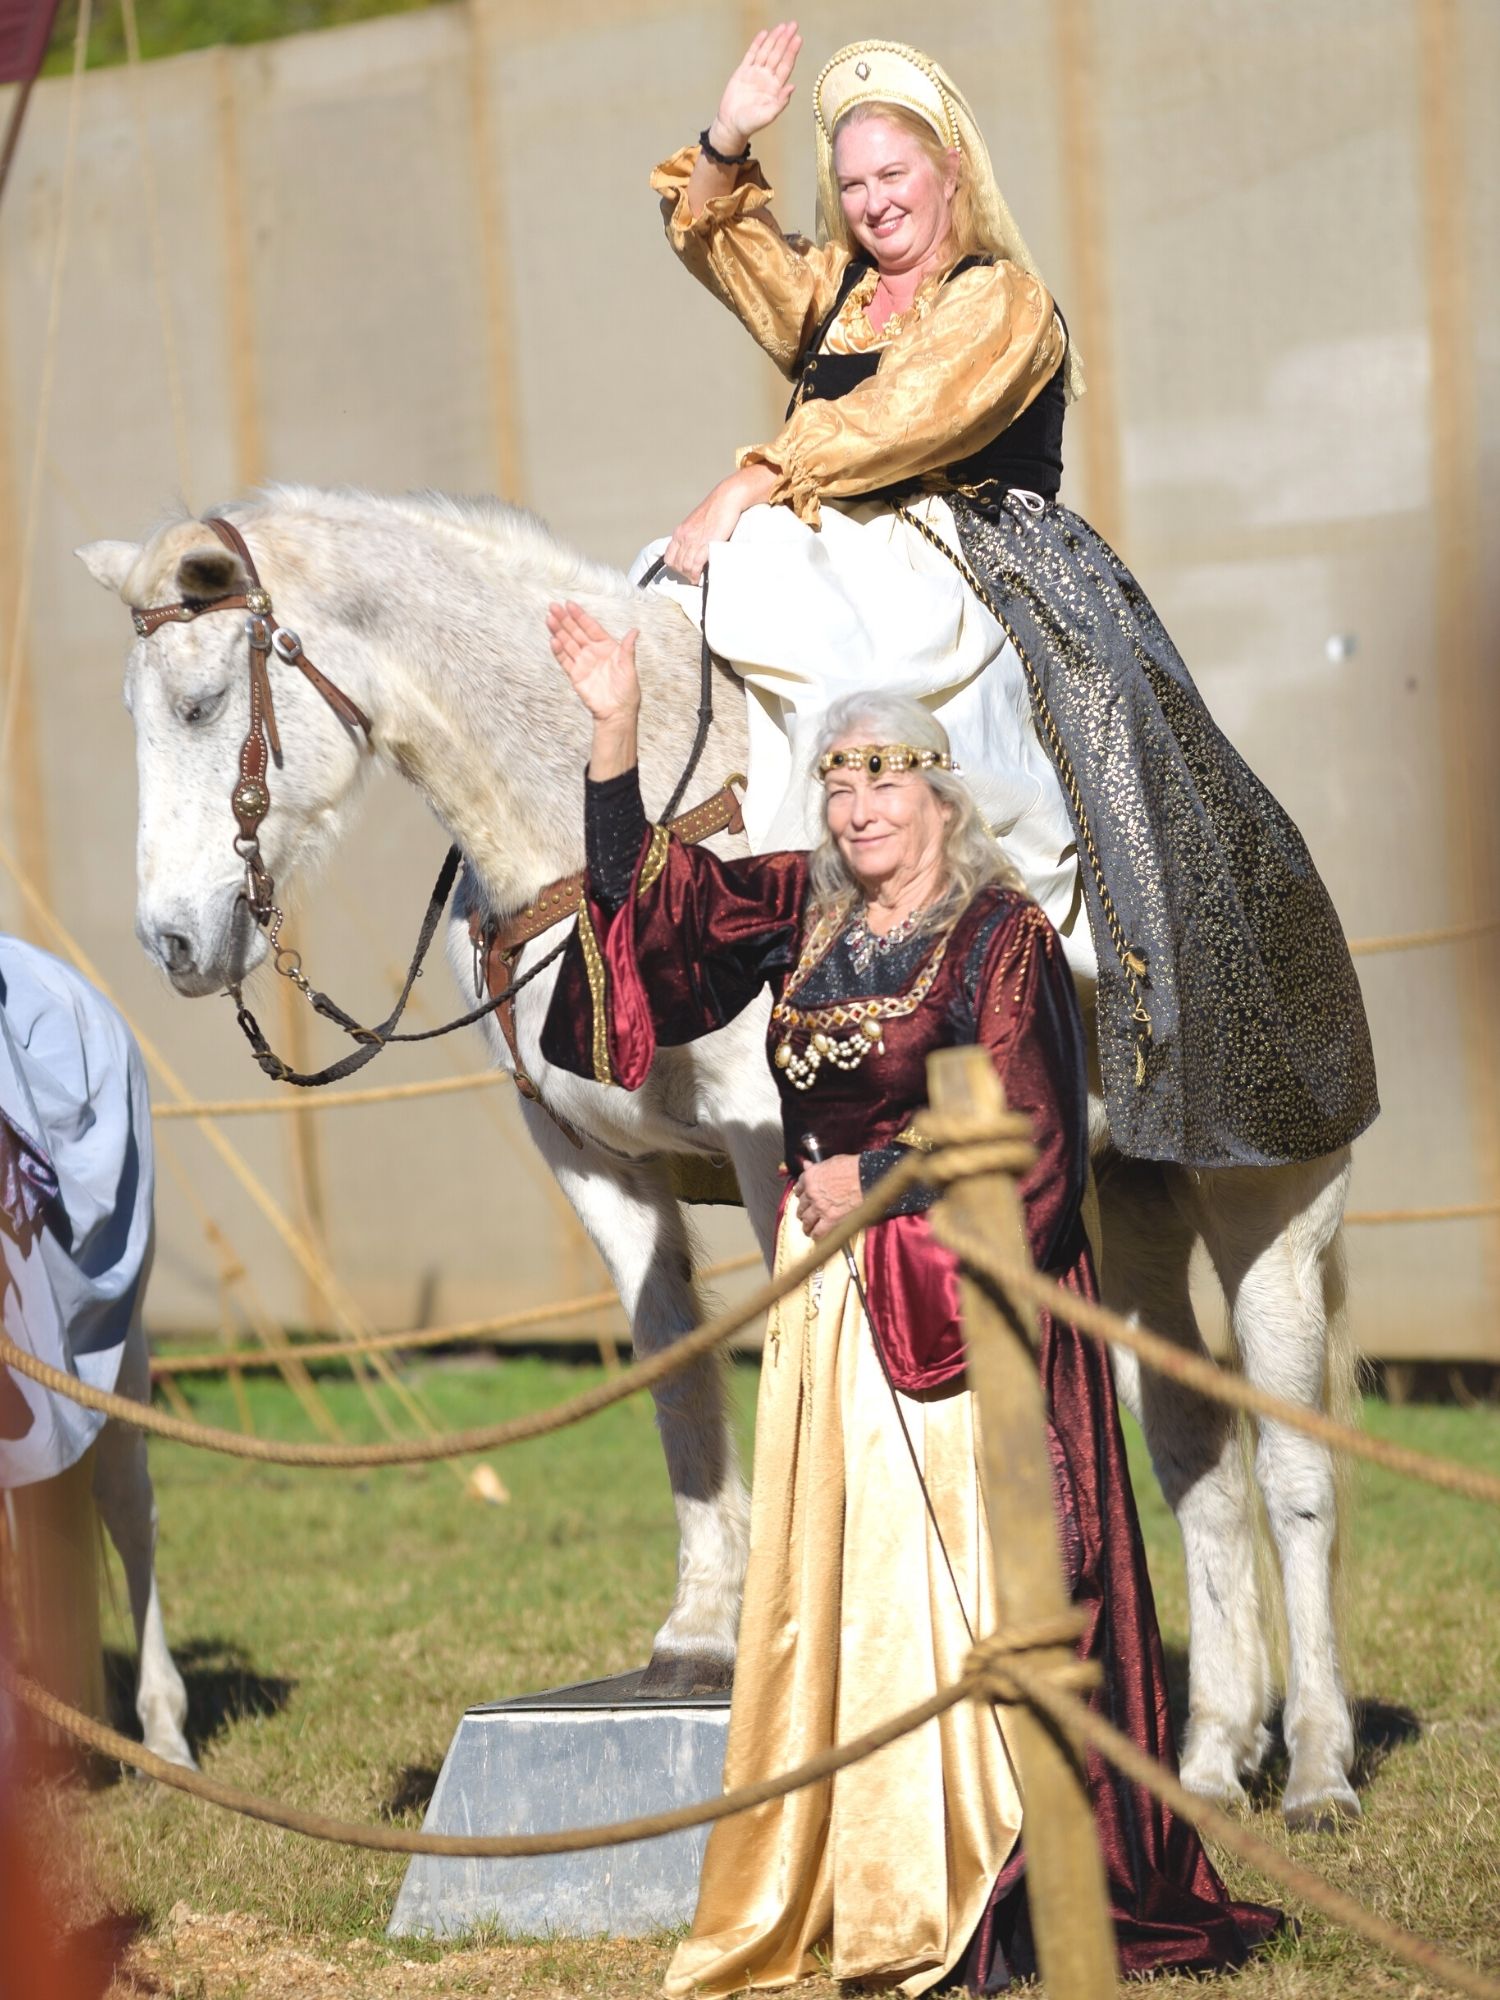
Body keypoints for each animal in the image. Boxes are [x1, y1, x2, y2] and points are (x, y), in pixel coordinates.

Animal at [85, 488, 1360, 1832]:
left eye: (199, 706)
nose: (173, 942)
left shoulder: (772, 1148)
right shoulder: (594, 1167)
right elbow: (676, 1376)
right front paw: (699, 1630)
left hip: (1271, 1208)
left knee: (1294, 1471)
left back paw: (1318, 1767)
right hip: (1122, 1216)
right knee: (1197, 1460)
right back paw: (1210, 1757)